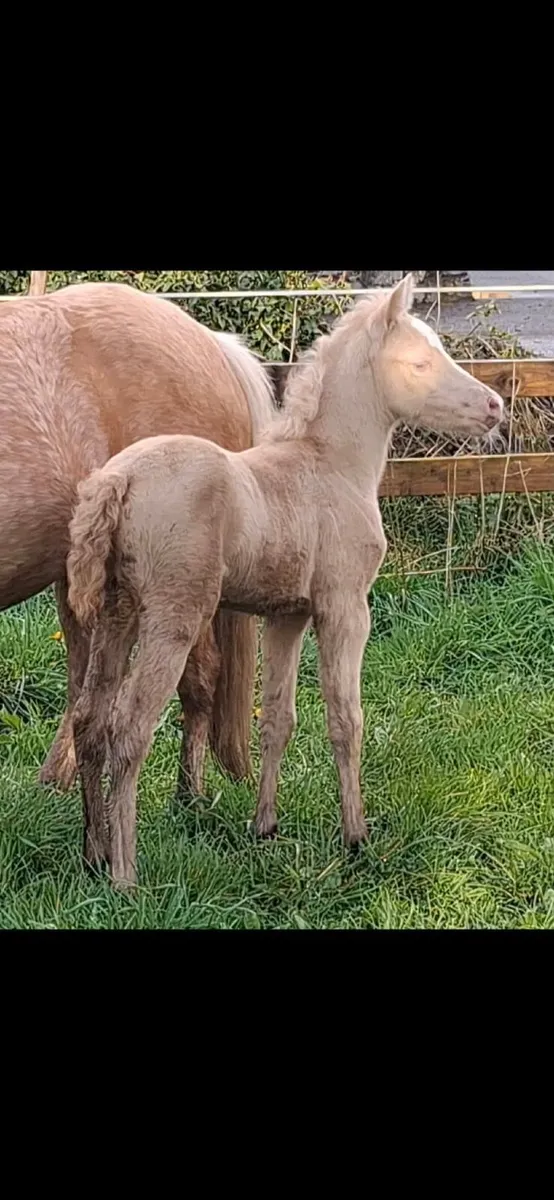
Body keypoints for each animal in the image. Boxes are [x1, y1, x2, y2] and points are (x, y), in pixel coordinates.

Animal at [66, 274, 504, 886]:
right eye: (420, 362)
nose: (495, 406)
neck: (330, 467)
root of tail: (118, 479)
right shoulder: (345, 606)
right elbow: (345, 717)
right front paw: (356, 837)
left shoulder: (286, 615)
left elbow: (277, 717)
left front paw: (265, 826)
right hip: (172, 619)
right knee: (128, 728)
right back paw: (126, 877)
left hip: (117, 611)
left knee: (89, 720)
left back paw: (94, 853)